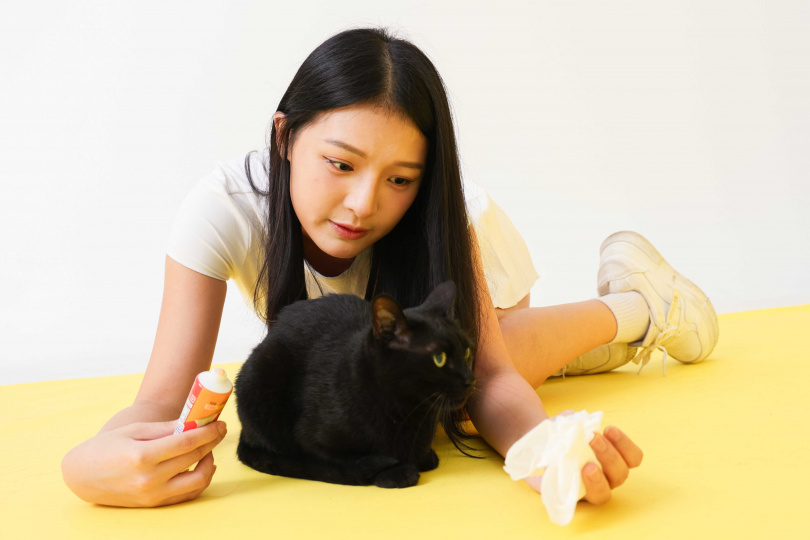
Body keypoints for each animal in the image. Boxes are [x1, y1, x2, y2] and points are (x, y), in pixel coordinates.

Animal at [232, 280, 474, 488]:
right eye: (439, 358)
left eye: (467, 352)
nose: (470, 379)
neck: (408, 413)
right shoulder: (311, 440)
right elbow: (343, 461)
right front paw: (395, 472)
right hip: (260, 377)